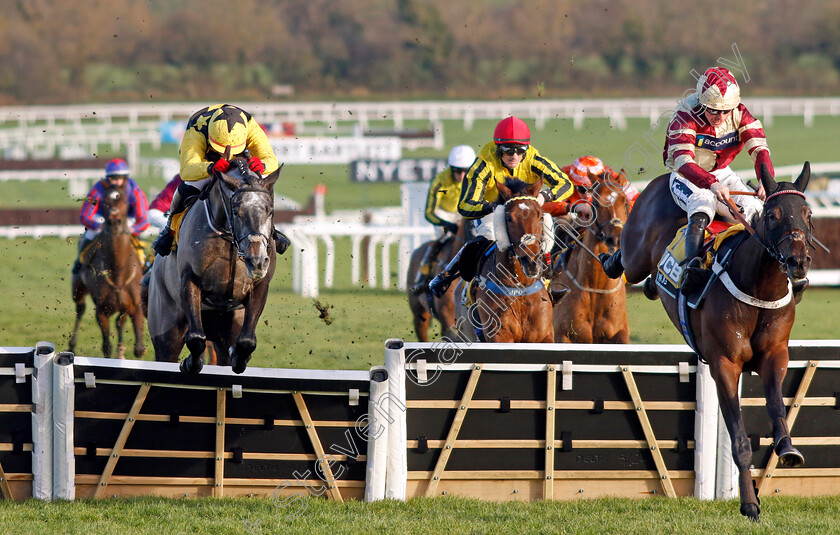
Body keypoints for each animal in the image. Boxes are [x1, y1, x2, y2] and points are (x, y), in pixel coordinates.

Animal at [71, 180, 147, 360]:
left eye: (125, 200)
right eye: (104, 201)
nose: (114, 221)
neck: (118, 271)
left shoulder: (135, 306)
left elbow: (139, 349)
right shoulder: (101, 311)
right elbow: (106, 347)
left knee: (120, 322)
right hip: (78, 289)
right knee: (80, 309)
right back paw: (72, 345)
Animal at [148, 159, 282, 374]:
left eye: (270, 211)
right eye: (235, 211)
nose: (257, 261)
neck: (229, 240)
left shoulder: (259, 286)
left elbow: (246, 342)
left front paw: (240, 357)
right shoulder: (190, 280)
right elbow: (196, 339)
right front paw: (189, 363)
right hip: (166, 332)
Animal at [462, 179, 556, 344]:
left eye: (540, 216)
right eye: (508, 218)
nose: (530, 261)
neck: (520, 289)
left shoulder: (545, 336)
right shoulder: (499, 336)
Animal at [556, 169, 628, 344]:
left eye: (625, 202)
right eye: (596, 203)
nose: (616, 238)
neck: (596, 288)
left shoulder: (620, 335)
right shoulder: (562, 336)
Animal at [600, 162, 812, 520]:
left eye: (808, 214)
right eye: (773, 215)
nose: (798, 262)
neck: (757, 287)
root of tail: (660, 179)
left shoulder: (775, 355)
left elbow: (777, 406)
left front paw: (787, 448)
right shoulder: (724, 364)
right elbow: (739, 441)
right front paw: (749, 504)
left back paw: (654, 286)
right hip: (638, 252)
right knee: (631, 259)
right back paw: (610, 261)